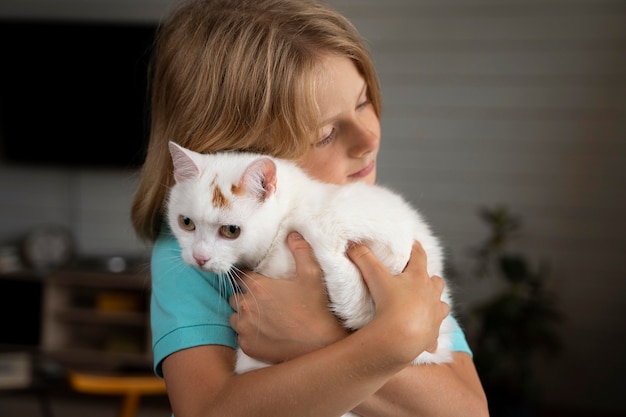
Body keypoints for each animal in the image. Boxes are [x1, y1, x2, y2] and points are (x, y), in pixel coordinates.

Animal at [165, 141, 454, 378]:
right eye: (186, 223)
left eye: (231, 231)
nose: (199, 257)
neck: (286, 218)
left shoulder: (367, 224)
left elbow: (339, 258)